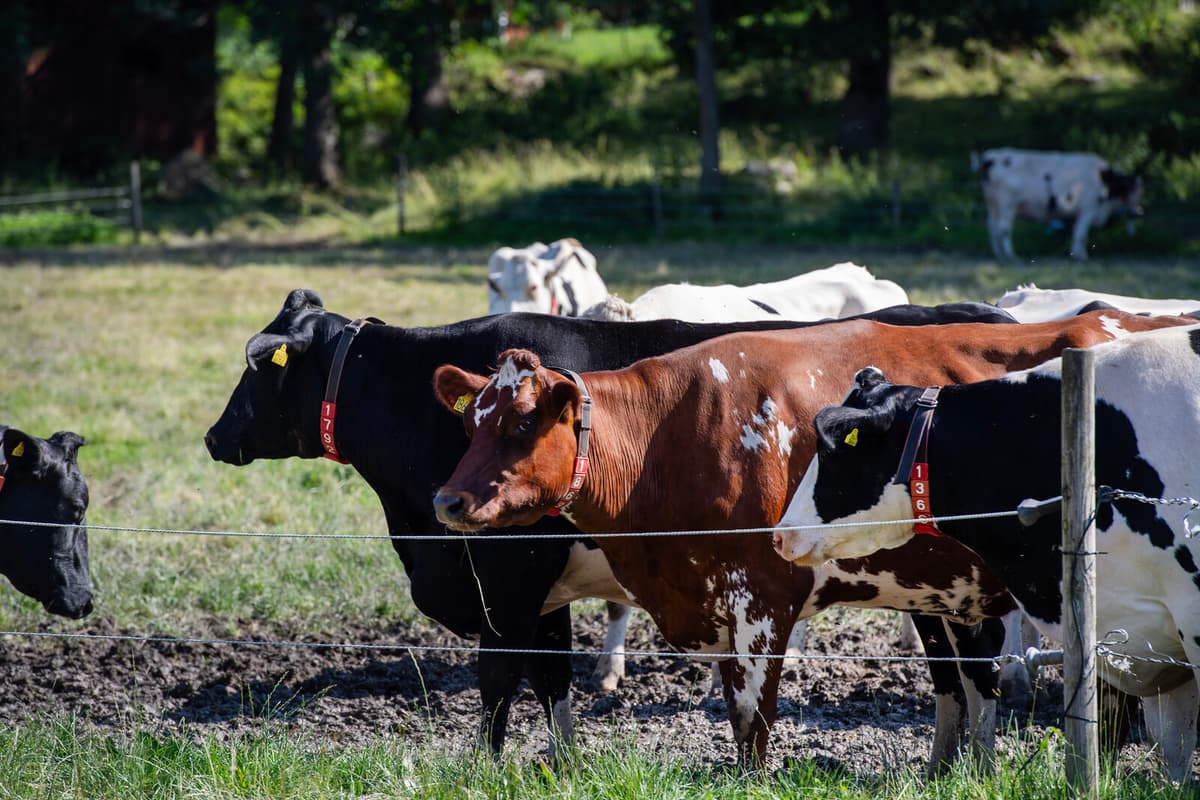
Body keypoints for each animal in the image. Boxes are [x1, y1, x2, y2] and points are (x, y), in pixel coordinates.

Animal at [204, 290, 1018, 761]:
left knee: (975, 668)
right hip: (930, 588)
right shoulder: (540, 592)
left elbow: (498, 678)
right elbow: (549, 678)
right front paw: (562, 764)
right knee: (953, 674)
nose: (215, 437)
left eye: (258, 368)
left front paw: (489, 766)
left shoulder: (508, 576)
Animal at [973, 148, 1144, 260]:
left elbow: (1076, 233)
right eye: (1129, 190)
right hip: (1006, 203)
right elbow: (1081, 234)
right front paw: (1081, 256)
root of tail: (989, 158)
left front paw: (1076, 253)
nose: (1138, 213)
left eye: (1139, 193)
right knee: (1003, 229)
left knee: (992, 227)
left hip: (993, 204)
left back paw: (998, 253)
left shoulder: (1077, 214)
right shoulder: (1088, 209)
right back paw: (1010, 255)